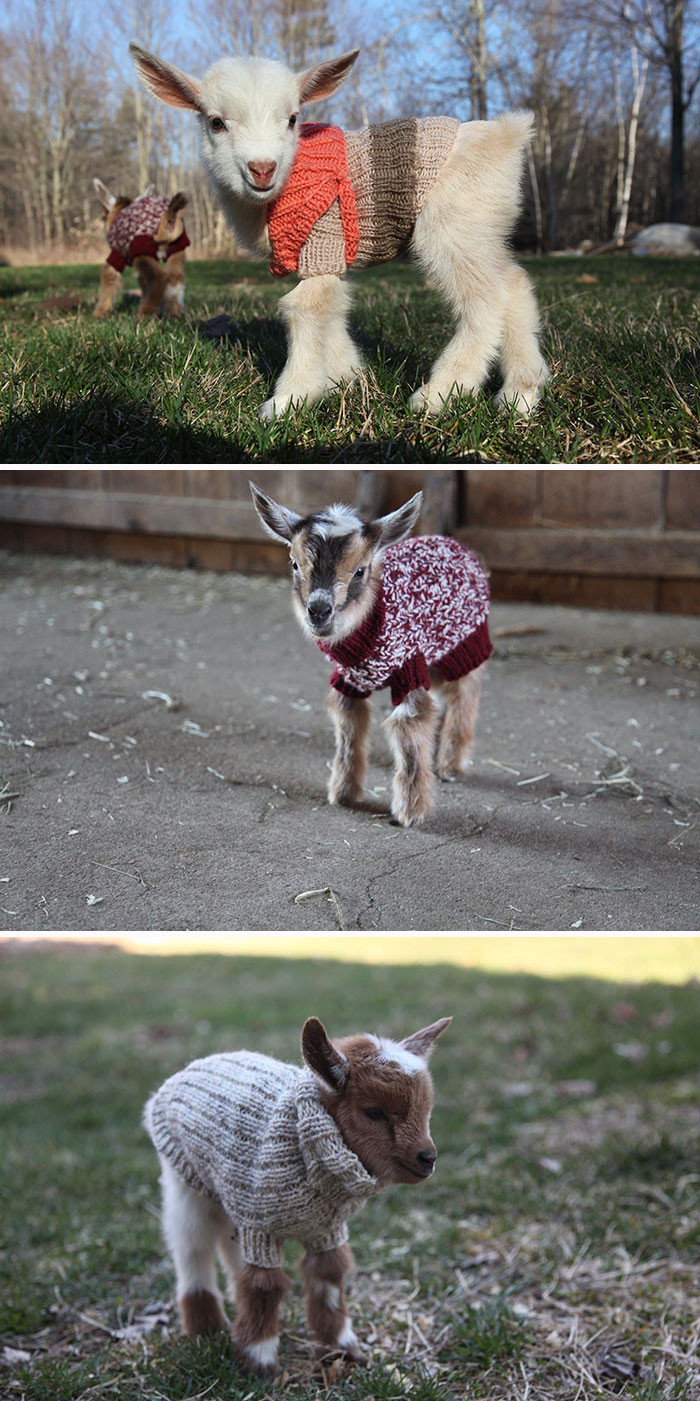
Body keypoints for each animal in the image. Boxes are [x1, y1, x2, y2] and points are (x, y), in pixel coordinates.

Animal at [253, 484, 492, 823]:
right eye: (295, 564)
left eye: (360, 571)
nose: (319, 611)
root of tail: (460, 546)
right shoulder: (349, 680)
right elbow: (348, 728)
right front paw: (343, 793)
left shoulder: (409, 668)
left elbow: (409, 729)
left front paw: (409, 812)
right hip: (434, 653)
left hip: (465, 642)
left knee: (465, 692)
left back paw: (450, 765)